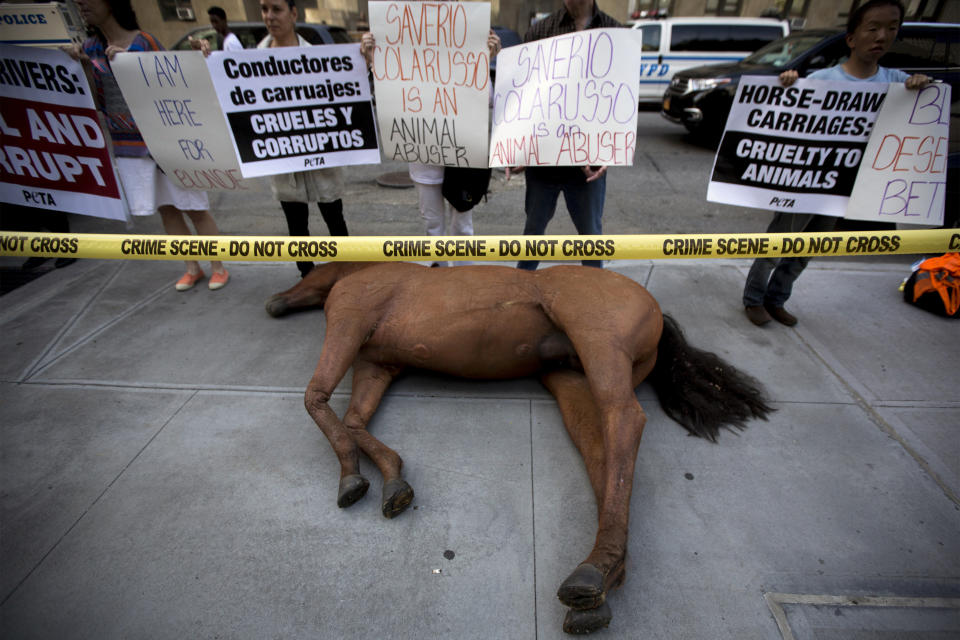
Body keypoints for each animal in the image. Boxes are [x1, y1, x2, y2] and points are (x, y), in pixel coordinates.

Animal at [264, 262, 772, 636]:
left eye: (307, 273)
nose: (273, 304)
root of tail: (656, 311)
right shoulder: (376, 365)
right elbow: (353, 421)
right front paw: (389, 480)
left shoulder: (350, 321)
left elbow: (315, 399)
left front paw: (354, 480)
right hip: (570, 380)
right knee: (603, 453)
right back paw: (600, 581)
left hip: (595, 339)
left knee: (625, 419)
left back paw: (592, 574)